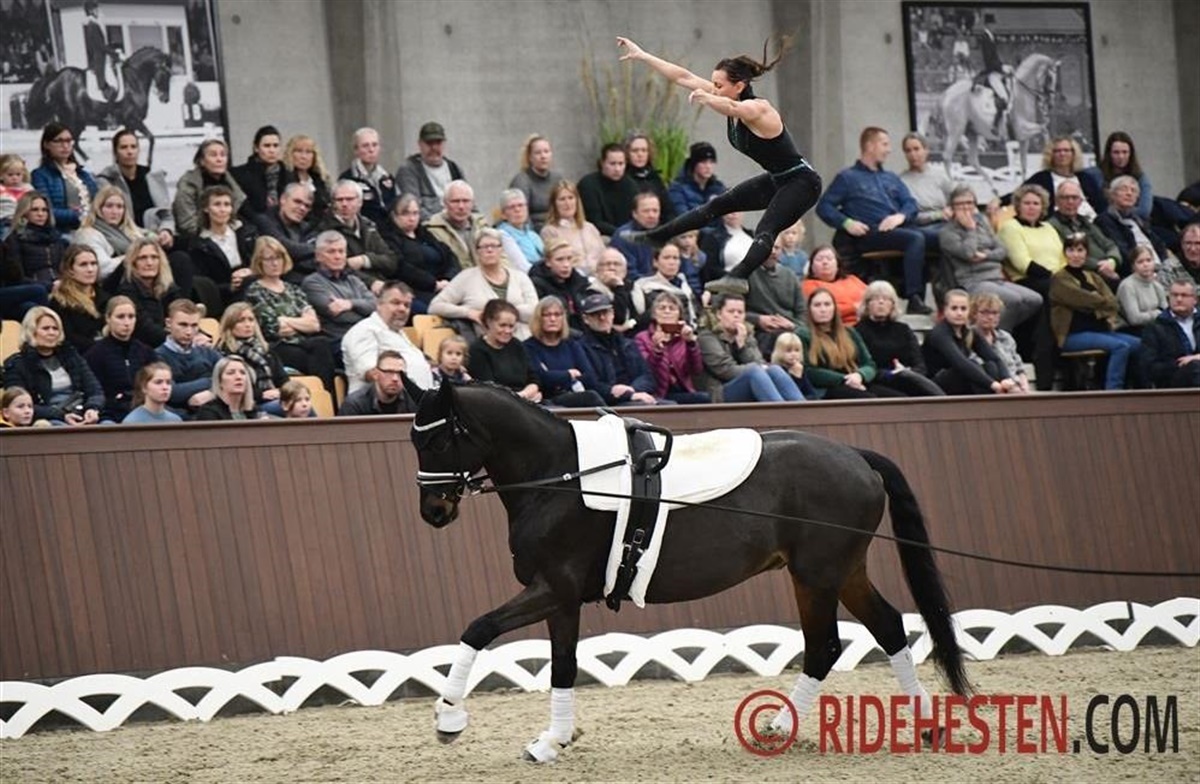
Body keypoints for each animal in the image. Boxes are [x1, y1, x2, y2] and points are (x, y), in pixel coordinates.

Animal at [26, 47, 173, 167]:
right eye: (166, 73)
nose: (165, 99)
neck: (133, 83)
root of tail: (54, 78)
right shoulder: (134, 120)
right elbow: (151, 138)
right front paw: (148, 162)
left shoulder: (130, 124)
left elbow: (131, 141)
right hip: (72, 120)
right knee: (72, 143)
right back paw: (85, 163)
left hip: (77, 122)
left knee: (73, 143)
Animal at [410, 381, 971, 762]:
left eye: (436, 443)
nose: (433, 512)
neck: (561, 477)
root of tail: (856, 456)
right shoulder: (560, 597)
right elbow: (563, 664)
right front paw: (553, 741)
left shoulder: (552, 588)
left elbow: (478, 629)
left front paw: (448, 718)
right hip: (841, 571)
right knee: (886, 629)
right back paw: (925, 727)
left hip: (817, 576)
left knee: (826, 646)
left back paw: (776, 727)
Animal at [933, 53, 1063, 192]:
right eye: (1050, 78)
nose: (1050, 103)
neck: (1022, 95)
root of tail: (946, 94)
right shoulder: (1023, 130)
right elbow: (1044, 130)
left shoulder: (1023, 139)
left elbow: (1023, 164)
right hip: (956, 131)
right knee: (947, 157)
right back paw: (953, 188)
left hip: (972, 132)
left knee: (972, 160)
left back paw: (994, 189)